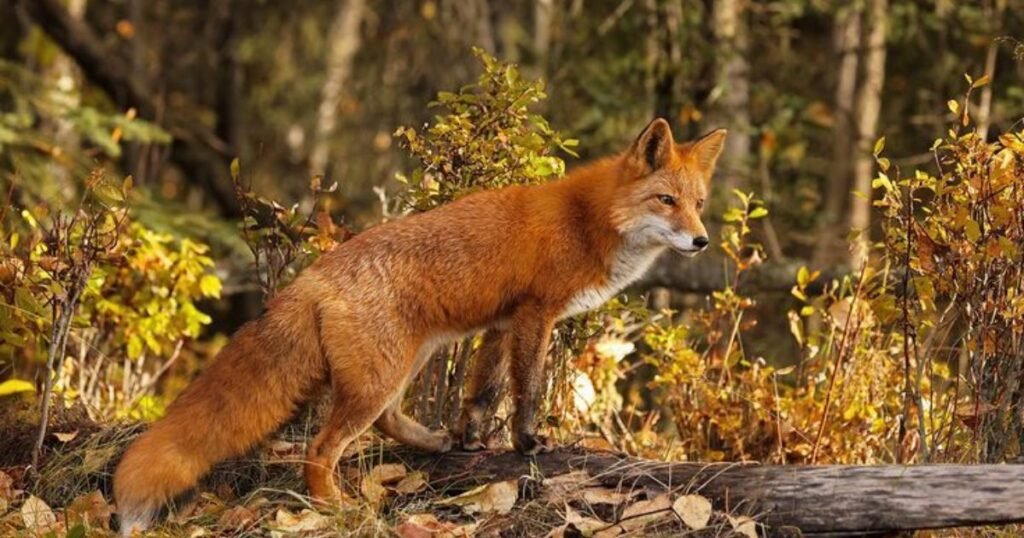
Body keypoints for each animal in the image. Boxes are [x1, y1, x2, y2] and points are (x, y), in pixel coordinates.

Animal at [113, 118, 725, 535]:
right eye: (665, 200)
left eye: (698, 203)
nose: (701, 241)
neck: (588, 220)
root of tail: (313, 277)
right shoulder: (536, 313)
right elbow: (525, 390)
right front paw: (527, 442)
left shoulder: (502, 323)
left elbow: (482, 392)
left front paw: (473, 438)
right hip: (384, 374)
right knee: (321, 448)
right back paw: (334, 508)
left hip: (405, 361)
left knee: (386, 422)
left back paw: (434, 443)